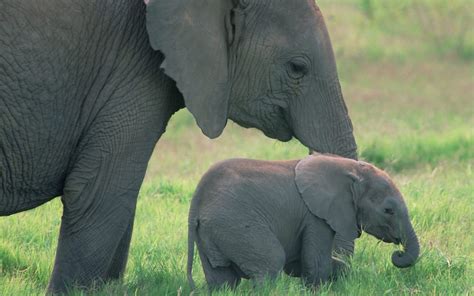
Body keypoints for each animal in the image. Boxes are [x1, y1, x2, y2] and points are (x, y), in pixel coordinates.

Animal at [187, 154, 420, 290]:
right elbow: (315, 263)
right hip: (235, 224)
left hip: (212, 232)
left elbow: (303, 263)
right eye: (388, 210)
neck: (351, 170)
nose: (398, 254)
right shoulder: (315, 216)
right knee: (270, 264)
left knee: (222, 280)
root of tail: (198, 199)